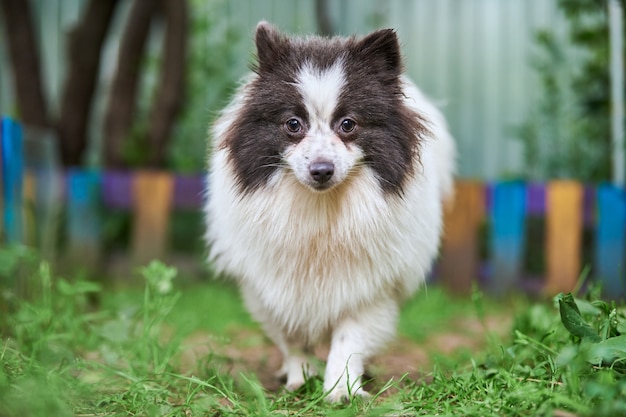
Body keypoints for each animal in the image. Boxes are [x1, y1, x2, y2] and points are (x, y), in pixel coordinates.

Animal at [205, 22, 454, 400]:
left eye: (348, 124)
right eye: (293, 125)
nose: (321, 169)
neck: (321, 209)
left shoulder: (370, 284)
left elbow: (349, 337)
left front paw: (341, 389)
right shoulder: (270, 283)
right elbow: (291, 335)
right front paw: (300, 376)